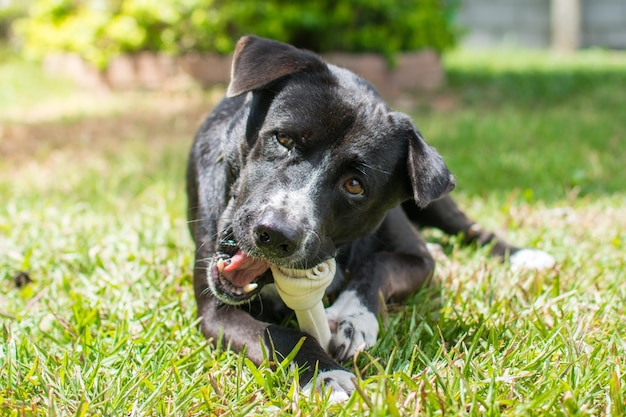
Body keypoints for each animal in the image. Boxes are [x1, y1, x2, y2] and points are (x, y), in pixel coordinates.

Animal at [185, 35, 552, 400]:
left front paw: (353, 318)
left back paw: (524, 256)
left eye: (354, 185)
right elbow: (280, 335)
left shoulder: (417, 260)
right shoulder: (214, 310)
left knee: (470, 229)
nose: (276, 234)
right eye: (283, 138)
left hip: (434, 203)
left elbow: (377, 266)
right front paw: (326, 374)